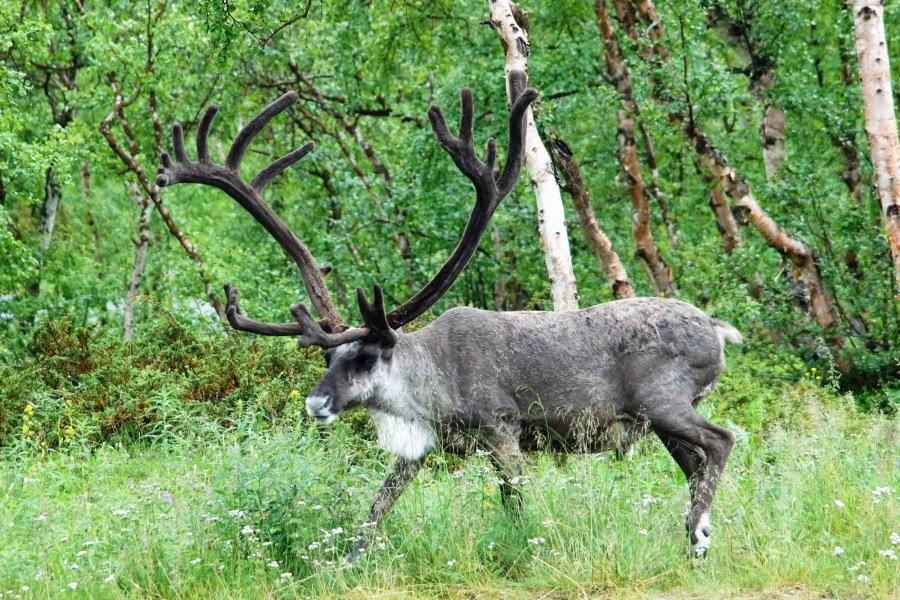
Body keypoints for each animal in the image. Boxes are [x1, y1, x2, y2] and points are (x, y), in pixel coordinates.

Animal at [155, 70, 741, 559]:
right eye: (327, 358)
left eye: (366, 355)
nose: (316, 403)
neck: (432, 376)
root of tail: (717, 329)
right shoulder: (422, 445)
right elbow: (378, 506)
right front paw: (348, 561)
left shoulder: (502, 428)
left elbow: (515, 503)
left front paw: (524, 551)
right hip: (661, 421)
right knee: (696, 465)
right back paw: (694, 538)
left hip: (663, 400)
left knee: (722, 440)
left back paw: (699, 532)